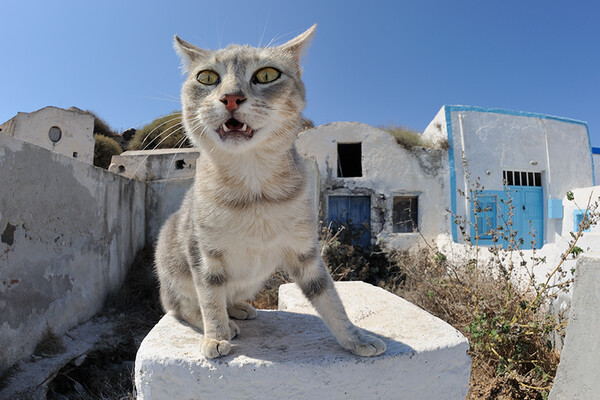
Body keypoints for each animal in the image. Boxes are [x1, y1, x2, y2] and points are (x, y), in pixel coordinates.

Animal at [155, 25, 386, 360]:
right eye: (207, 77)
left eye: (266, 75)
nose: (231, 98)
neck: (255, 191)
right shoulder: (203, 253)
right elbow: (210, 299)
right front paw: (215, 336)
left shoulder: (306, 252)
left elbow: (330, 298)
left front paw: (355, 338)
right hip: (174, 276)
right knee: (182, 308)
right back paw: (223, 324)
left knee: (226, 299)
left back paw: (238, 309)